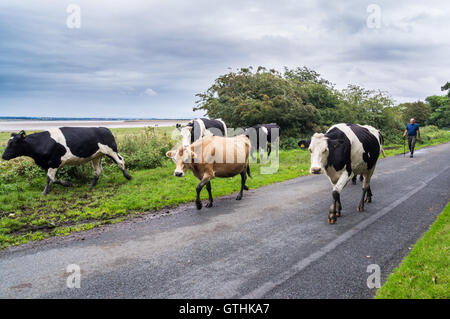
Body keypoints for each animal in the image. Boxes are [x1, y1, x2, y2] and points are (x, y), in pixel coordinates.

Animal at [1, 127, 132, 195]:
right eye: (8, 142)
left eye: (14, 143)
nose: (3, 156)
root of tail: (104, 128)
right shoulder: (48, 164)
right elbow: (50, 179)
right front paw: (47, 191)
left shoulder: (54, 162)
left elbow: (51, 178)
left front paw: (67, 184)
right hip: (96, 156)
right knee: (98, 170)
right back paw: (91, 185)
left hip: (110, 150)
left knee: (120, 161)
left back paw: (128, 176)